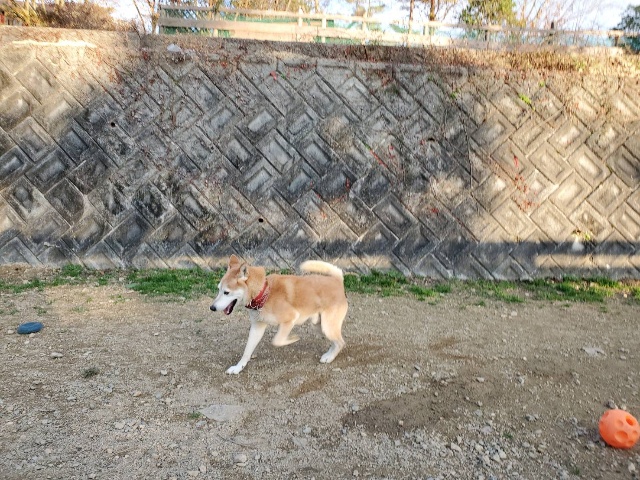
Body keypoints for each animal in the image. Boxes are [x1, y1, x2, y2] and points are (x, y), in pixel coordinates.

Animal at [210, 255, 348, 374]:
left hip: (326, 326)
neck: (264, 293)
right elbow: (247, 351)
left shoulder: (291, 318)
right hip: (319, 326)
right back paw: (328, 355)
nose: (212, 307)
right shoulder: (257, 327)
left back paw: (329, 357)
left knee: (340, 342)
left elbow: (277, 340)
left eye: (226, 292)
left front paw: (293, 338)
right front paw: (238, 368)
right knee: (336, 342)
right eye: (218, 289)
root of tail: (337, 280)